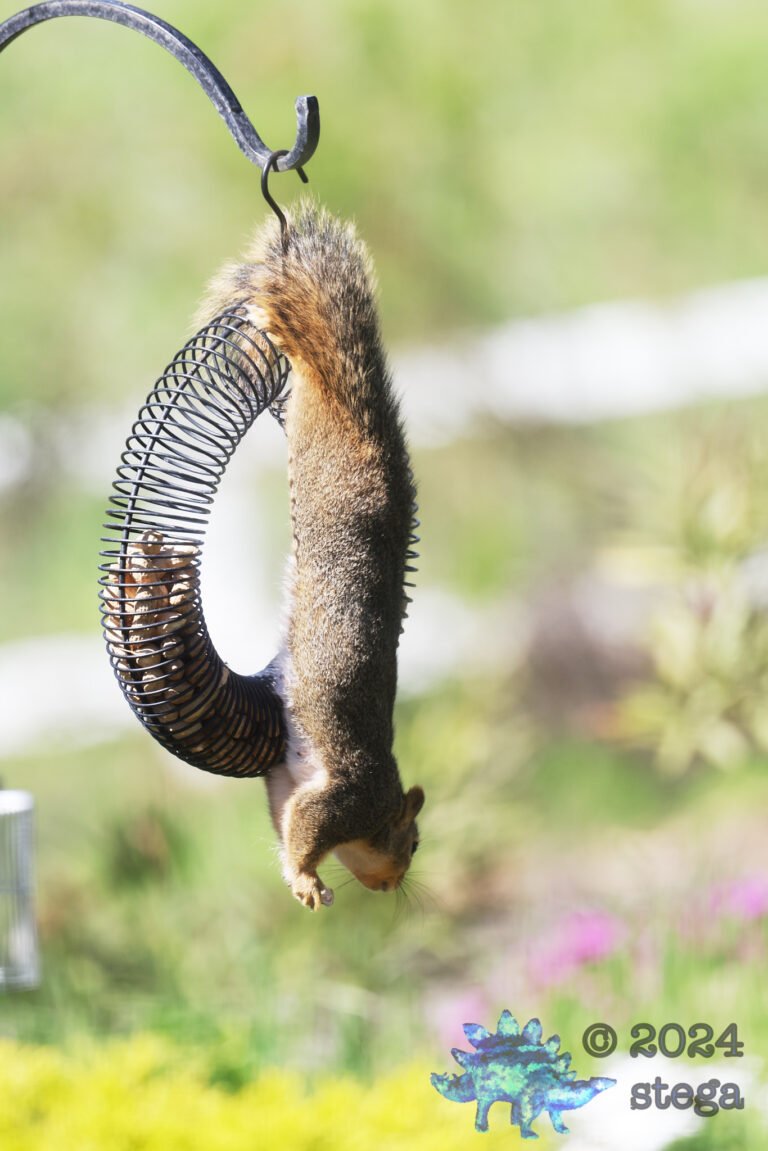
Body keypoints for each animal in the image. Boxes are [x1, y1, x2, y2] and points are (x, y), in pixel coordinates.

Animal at [198, 200, 425, 910]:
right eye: (414, 842)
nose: (398, 885)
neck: (379, 803)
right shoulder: (345, 799)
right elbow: (308, 827)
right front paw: (307, 880)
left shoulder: (285, 783)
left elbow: (284, 819)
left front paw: (299, 878)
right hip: (326, 462)